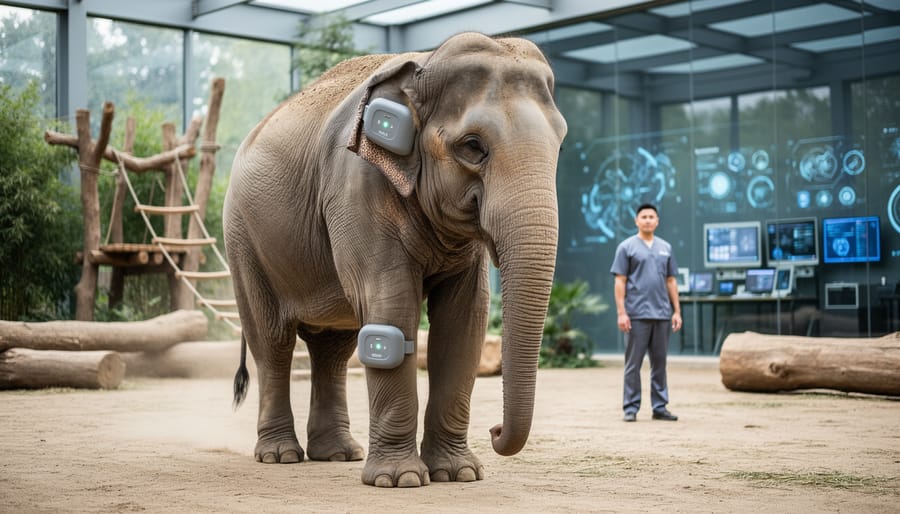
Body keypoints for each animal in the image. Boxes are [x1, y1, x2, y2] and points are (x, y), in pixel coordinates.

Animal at [224, 31, 567, 488]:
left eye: (560, 142)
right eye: (473, 146)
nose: (495, 431)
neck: (424, 64)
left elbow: (464, 322)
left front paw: (458, 473)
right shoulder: (354, 186)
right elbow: (391, 305)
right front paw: (400, 480)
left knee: (334, 348)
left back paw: (338, 454)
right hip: (243, 239)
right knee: (272, 342)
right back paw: (280, 456)